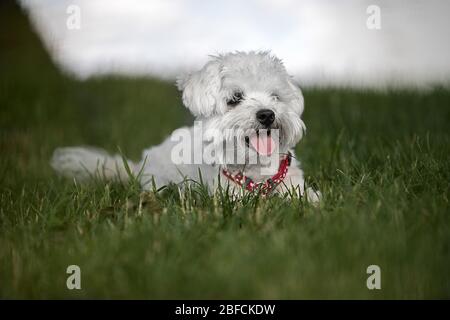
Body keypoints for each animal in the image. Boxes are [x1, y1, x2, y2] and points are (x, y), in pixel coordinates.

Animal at [51, 52, 320, 202]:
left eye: (275, 96)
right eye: (235, 98)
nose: (267, 114)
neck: (257, 171)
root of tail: (138, 166)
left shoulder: (293, 184)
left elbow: (308, 199)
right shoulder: (229, 195)